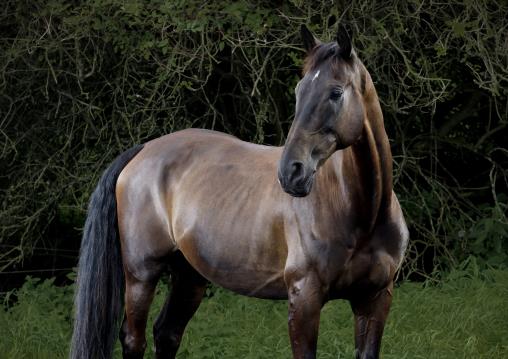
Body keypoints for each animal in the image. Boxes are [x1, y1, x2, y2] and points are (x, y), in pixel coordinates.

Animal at [69, 25, 408, 359]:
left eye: (336, 92)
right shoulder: (305, 298)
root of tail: (143, 150)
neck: (361, 211)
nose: (291, 172)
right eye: (299, 91)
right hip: (141, 274)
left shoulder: (375, 299)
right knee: (133, 339)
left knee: (167, 334)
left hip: (189, 276)